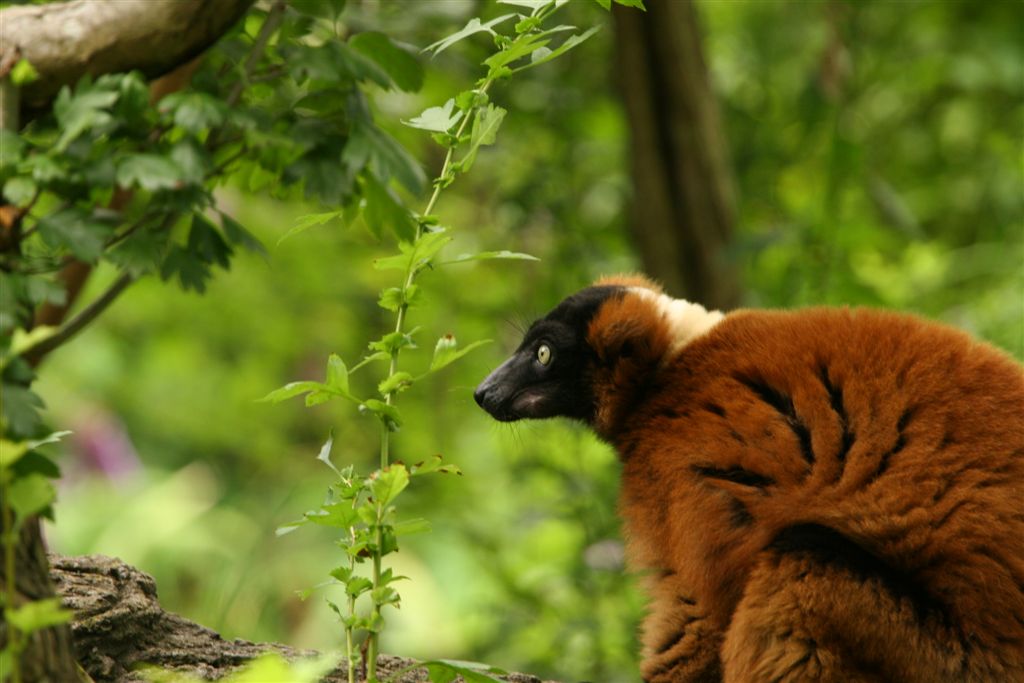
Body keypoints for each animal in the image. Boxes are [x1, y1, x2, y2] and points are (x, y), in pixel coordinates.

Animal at [475, 274, 1024, 682]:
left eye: (543, 355)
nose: (483, 392)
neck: (670, 367)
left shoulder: (673, 460)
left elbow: (699, 607)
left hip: (946, 660)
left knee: (801, 560)